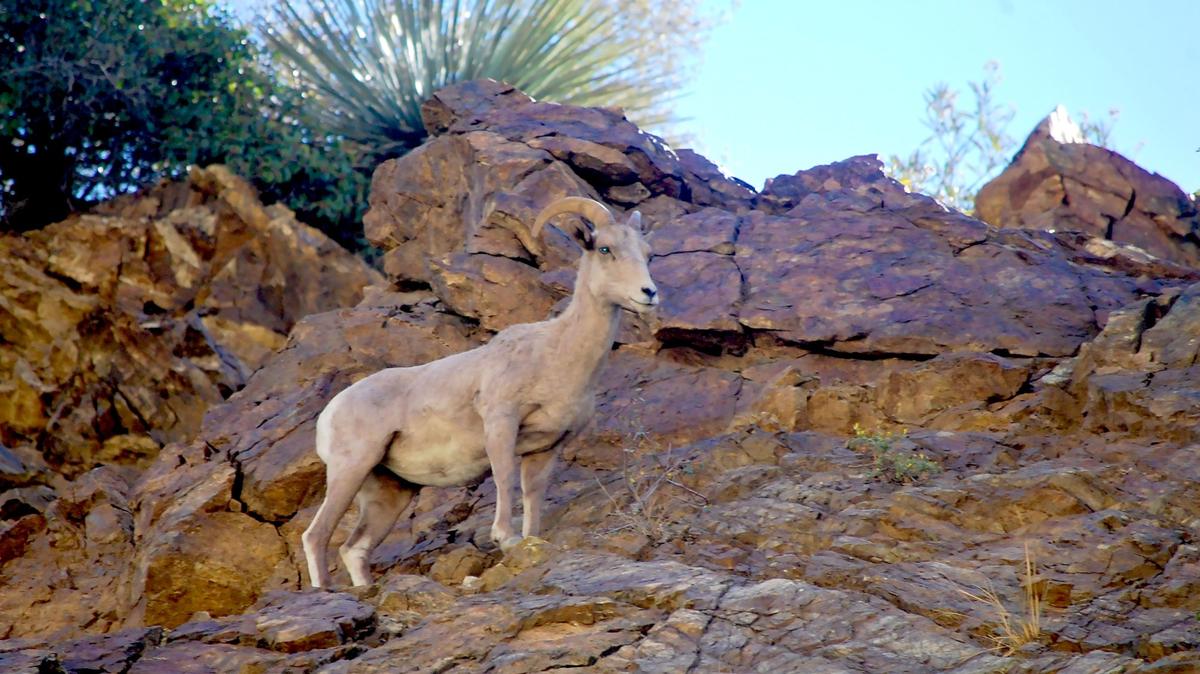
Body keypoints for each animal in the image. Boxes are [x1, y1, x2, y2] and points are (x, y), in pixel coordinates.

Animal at [301, 197, 659, 588]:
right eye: (605, 249)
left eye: (647, 253)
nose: (649, 293)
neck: (557, 355)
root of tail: (329, 413)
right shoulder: (501, 423)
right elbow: (504, 478)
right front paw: (506, 539)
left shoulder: (546, 448)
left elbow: (532, 496)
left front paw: (529, 542)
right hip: (351, 468)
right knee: (316, 536)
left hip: (390, 492)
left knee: (354, 549)